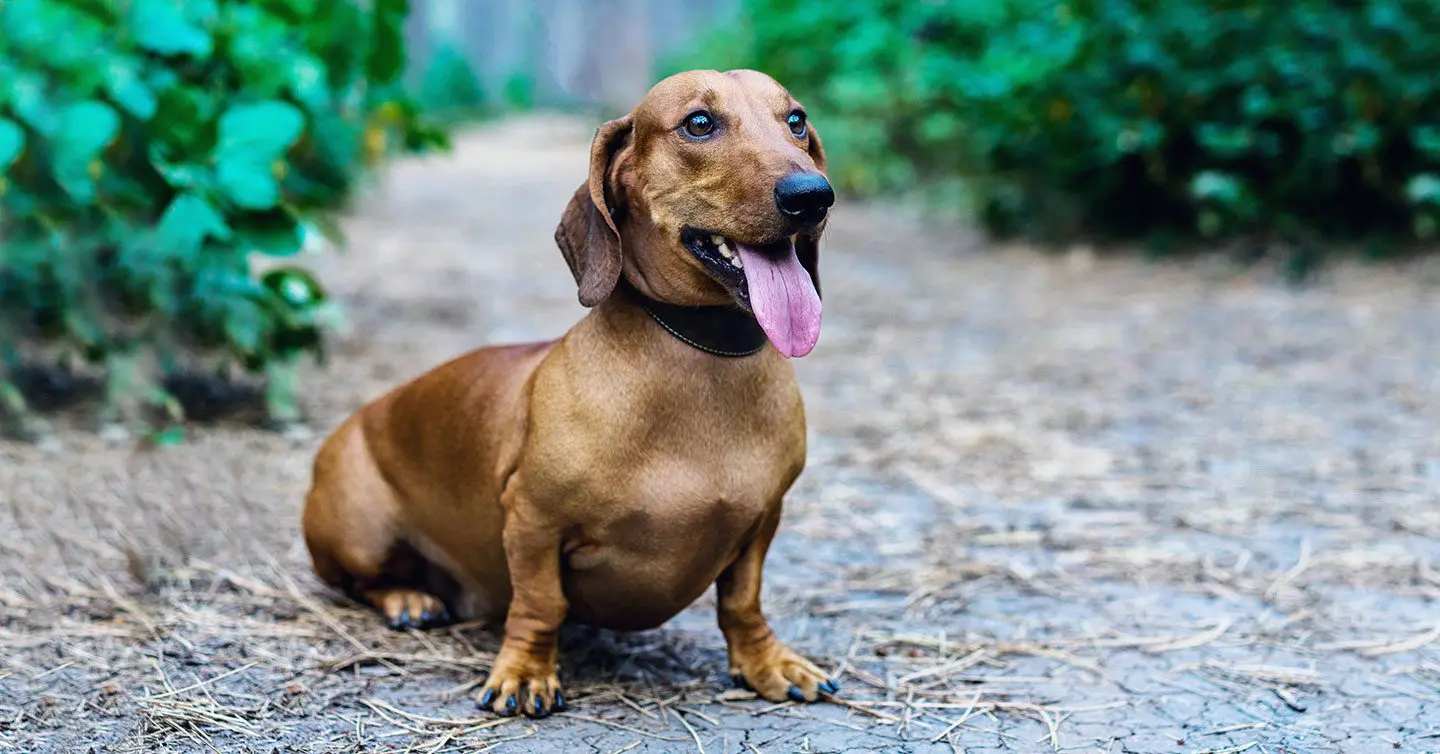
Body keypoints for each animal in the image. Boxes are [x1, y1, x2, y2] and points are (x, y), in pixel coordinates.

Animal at [303, 69, 840, 719]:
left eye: (797, 120)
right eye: (698, 123)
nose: (813, 194)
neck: (700, 360)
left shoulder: (762, 524)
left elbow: (742, 603)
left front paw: (767, 663)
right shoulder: (533, 522)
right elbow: (541, 605)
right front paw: (525, 673)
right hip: (359, 531)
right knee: (357, 580)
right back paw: (409, 598)